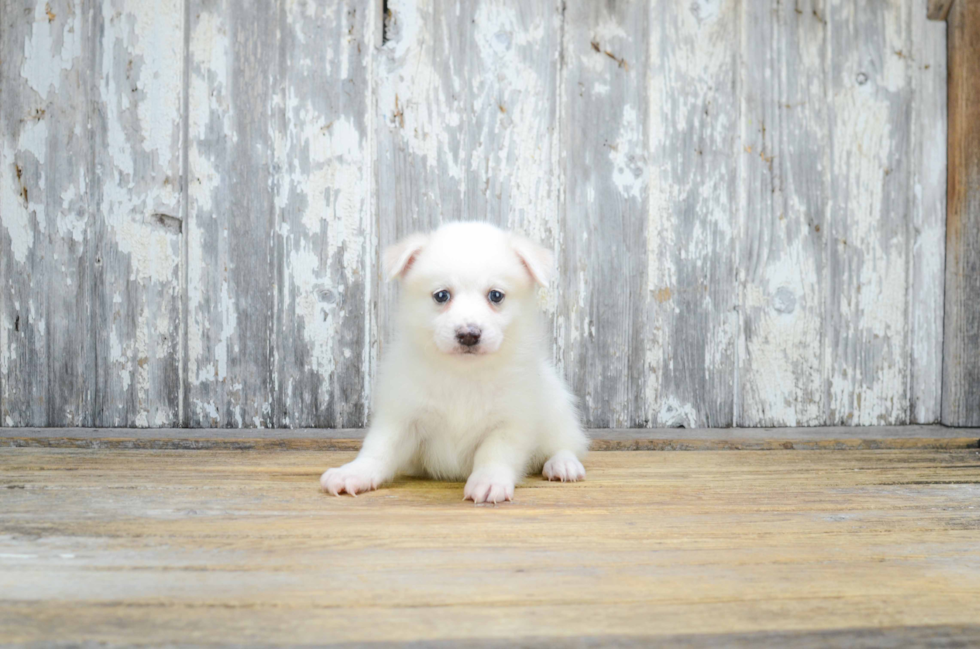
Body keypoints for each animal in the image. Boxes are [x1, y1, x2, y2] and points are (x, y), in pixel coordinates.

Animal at [318, 221, 584, 502]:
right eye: (441, 295)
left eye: (496, 296)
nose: (468, 334)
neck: (463, 373)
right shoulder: (402, 415)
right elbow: (379, 449)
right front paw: (354, 473)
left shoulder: (512, 420)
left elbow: (495, 453)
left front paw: (488, 480)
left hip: (557, 412)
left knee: (566, 444)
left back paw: (563, 464)